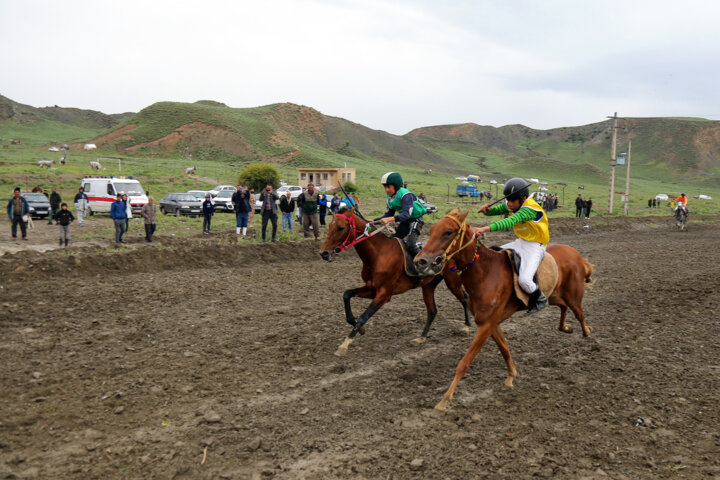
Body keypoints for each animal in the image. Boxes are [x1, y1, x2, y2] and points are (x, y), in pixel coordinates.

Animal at [320, 207, 472, 356]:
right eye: (330, 226)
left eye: (340, 228)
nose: (324, 253)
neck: (379, 253)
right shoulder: (371, 288)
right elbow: (346, 294)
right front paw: (358, 327)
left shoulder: (384, 294)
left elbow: (364, 316)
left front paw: (345, 344)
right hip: (428, 285)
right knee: (432, 310)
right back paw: (421, 337)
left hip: (452, 281)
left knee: (464, 298)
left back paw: (466, 326)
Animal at [414, 210, 592, 412]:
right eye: (432, 230)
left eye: (448, 232)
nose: (420, 261)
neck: (485, 273)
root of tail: (576, 255)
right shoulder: (490, 323)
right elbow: (505, 348)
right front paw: (511, 376)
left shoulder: (486, 325)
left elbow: (464, 363)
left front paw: (444, 400)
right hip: (553, 295)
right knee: (563, 306)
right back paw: (565, 327)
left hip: (573, 295)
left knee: (579, 313)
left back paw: (586, 332)